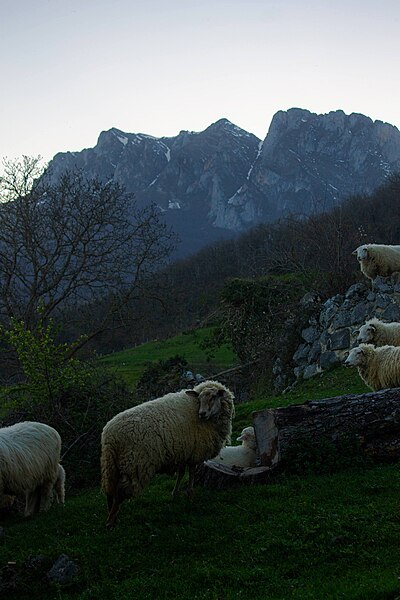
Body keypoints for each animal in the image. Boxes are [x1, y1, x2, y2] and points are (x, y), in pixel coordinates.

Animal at [100, 380, 236, 528]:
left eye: (213, 397)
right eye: (200, 399)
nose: (202, 413)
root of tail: (110, 436)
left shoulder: (183, 452)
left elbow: (181, 473)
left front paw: (175, 493)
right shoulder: (194, 453)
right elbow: (191, 474)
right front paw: (190, 495)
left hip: (111, 463)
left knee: (110, 491)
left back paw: (113, 516)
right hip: (135, 464)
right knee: (120, 493)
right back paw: (110, 522)